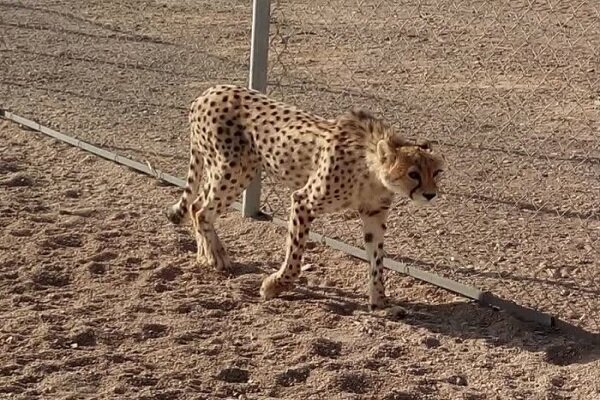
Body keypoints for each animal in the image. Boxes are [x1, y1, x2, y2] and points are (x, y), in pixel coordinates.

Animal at [166, 83, 442, 310]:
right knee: (202, 210)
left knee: (196, 206)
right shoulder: (303, 201)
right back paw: (217, 257)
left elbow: (377, 260)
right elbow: (295, 255)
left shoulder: (374, 213)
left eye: (437, 172)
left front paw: (380, 302)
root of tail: (208, 92)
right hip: (234, 170)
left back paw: (205, 255)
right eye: (413, 174)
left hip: (227, 169)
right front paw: (275, 285)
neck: (371, 169)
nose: (430, 195)